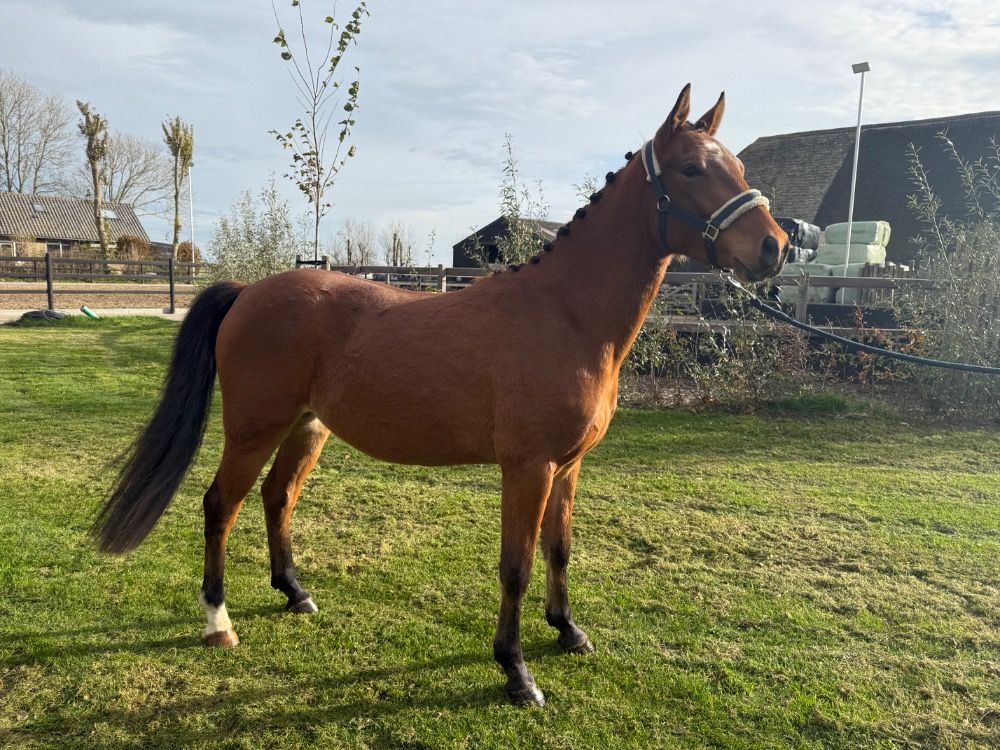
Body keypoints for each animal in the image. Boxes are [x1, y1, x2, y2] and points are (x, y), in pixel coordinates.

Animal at [93, 84, 788, 707]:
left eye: (739, 167)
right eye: (694, 168)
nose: (775, 247)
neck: (565, 314)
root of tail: (248, 291)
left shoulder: (568, 466)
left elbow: (559, 550)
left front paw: (568, 631)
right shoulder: (529, 468)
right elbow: (517, 566)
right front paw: (516, 672)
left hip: (307, 427)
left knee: (277, 497)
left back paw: (295, 593)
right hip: (253, 429)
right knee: (221, 505)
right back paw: (219, 622)